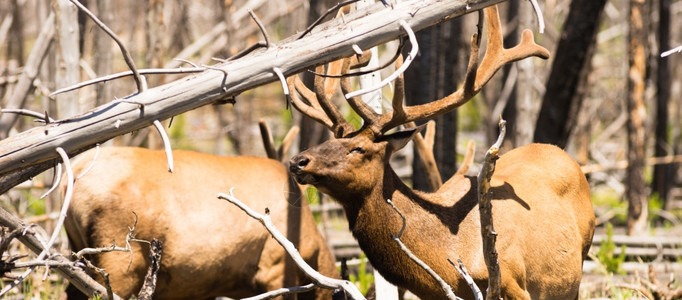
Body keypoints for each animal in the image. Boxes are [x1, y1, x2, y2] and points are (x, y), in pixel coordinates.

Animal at [286, 5, 596, 300]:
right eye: (329, 140)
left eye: (358, 148)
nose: (298, 161)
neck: (445, 259)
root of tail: (562, 153)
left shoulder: (512, 282)